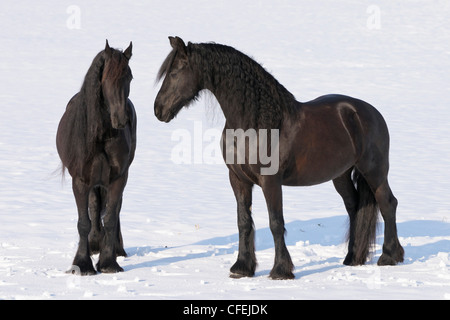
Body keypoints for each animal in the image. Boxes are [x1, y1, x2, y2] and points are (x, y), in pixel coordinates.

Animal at [55, 40, 135, 276]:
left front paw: (108, 262)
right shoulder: (81, 181)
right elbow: (84, 222)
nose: (121, 119)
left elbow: (110, 218)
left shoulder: (118, 179)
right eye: (105, 78)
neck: (102, 136)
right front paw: (82, 264)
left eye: (130, 77)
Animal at [155, 36, 404, 278]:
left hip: (374, 172)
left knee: (387, 203)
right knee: (354, 208)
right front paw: (242, 268)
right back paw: (352, 258)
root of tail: (368, 113)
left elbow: (275, 222)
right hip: (341, 175)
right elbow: (243, 222)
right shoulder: (238, 180)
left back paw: (390, 256)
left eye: (175, 72)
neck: (255, 123)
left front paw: (281, 270)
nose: (158, 110)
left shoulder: (271, 181)